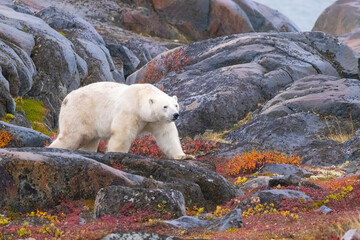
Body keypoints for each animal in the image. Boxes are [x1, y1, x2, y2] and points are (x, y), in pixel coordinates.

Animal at [50, 82, 194, 159]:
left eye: (176, 105)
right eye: (165, 106)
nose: (175, 115)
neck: (140, 97)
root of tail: (66, 99)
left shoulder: (158, 120)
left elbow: (167, 136)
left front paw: (184, 156)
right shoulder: (129, 111)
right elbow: (123, 134)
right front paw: (116, 153)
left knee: (90, 140)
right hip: (80, 112)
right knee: (73, 136)